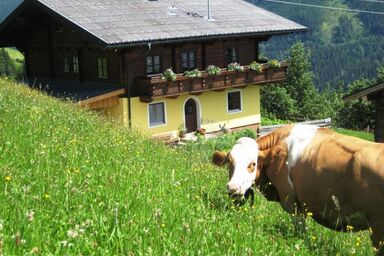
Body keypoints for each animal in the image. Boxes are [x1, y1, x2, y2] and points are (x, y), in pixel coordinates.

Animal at [212, 124, 384, 254]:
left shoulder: (291, 201)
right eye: (229, 161)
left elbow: (300, 231)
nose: (233, 187)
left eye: (252, 164)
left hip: (378, 229)